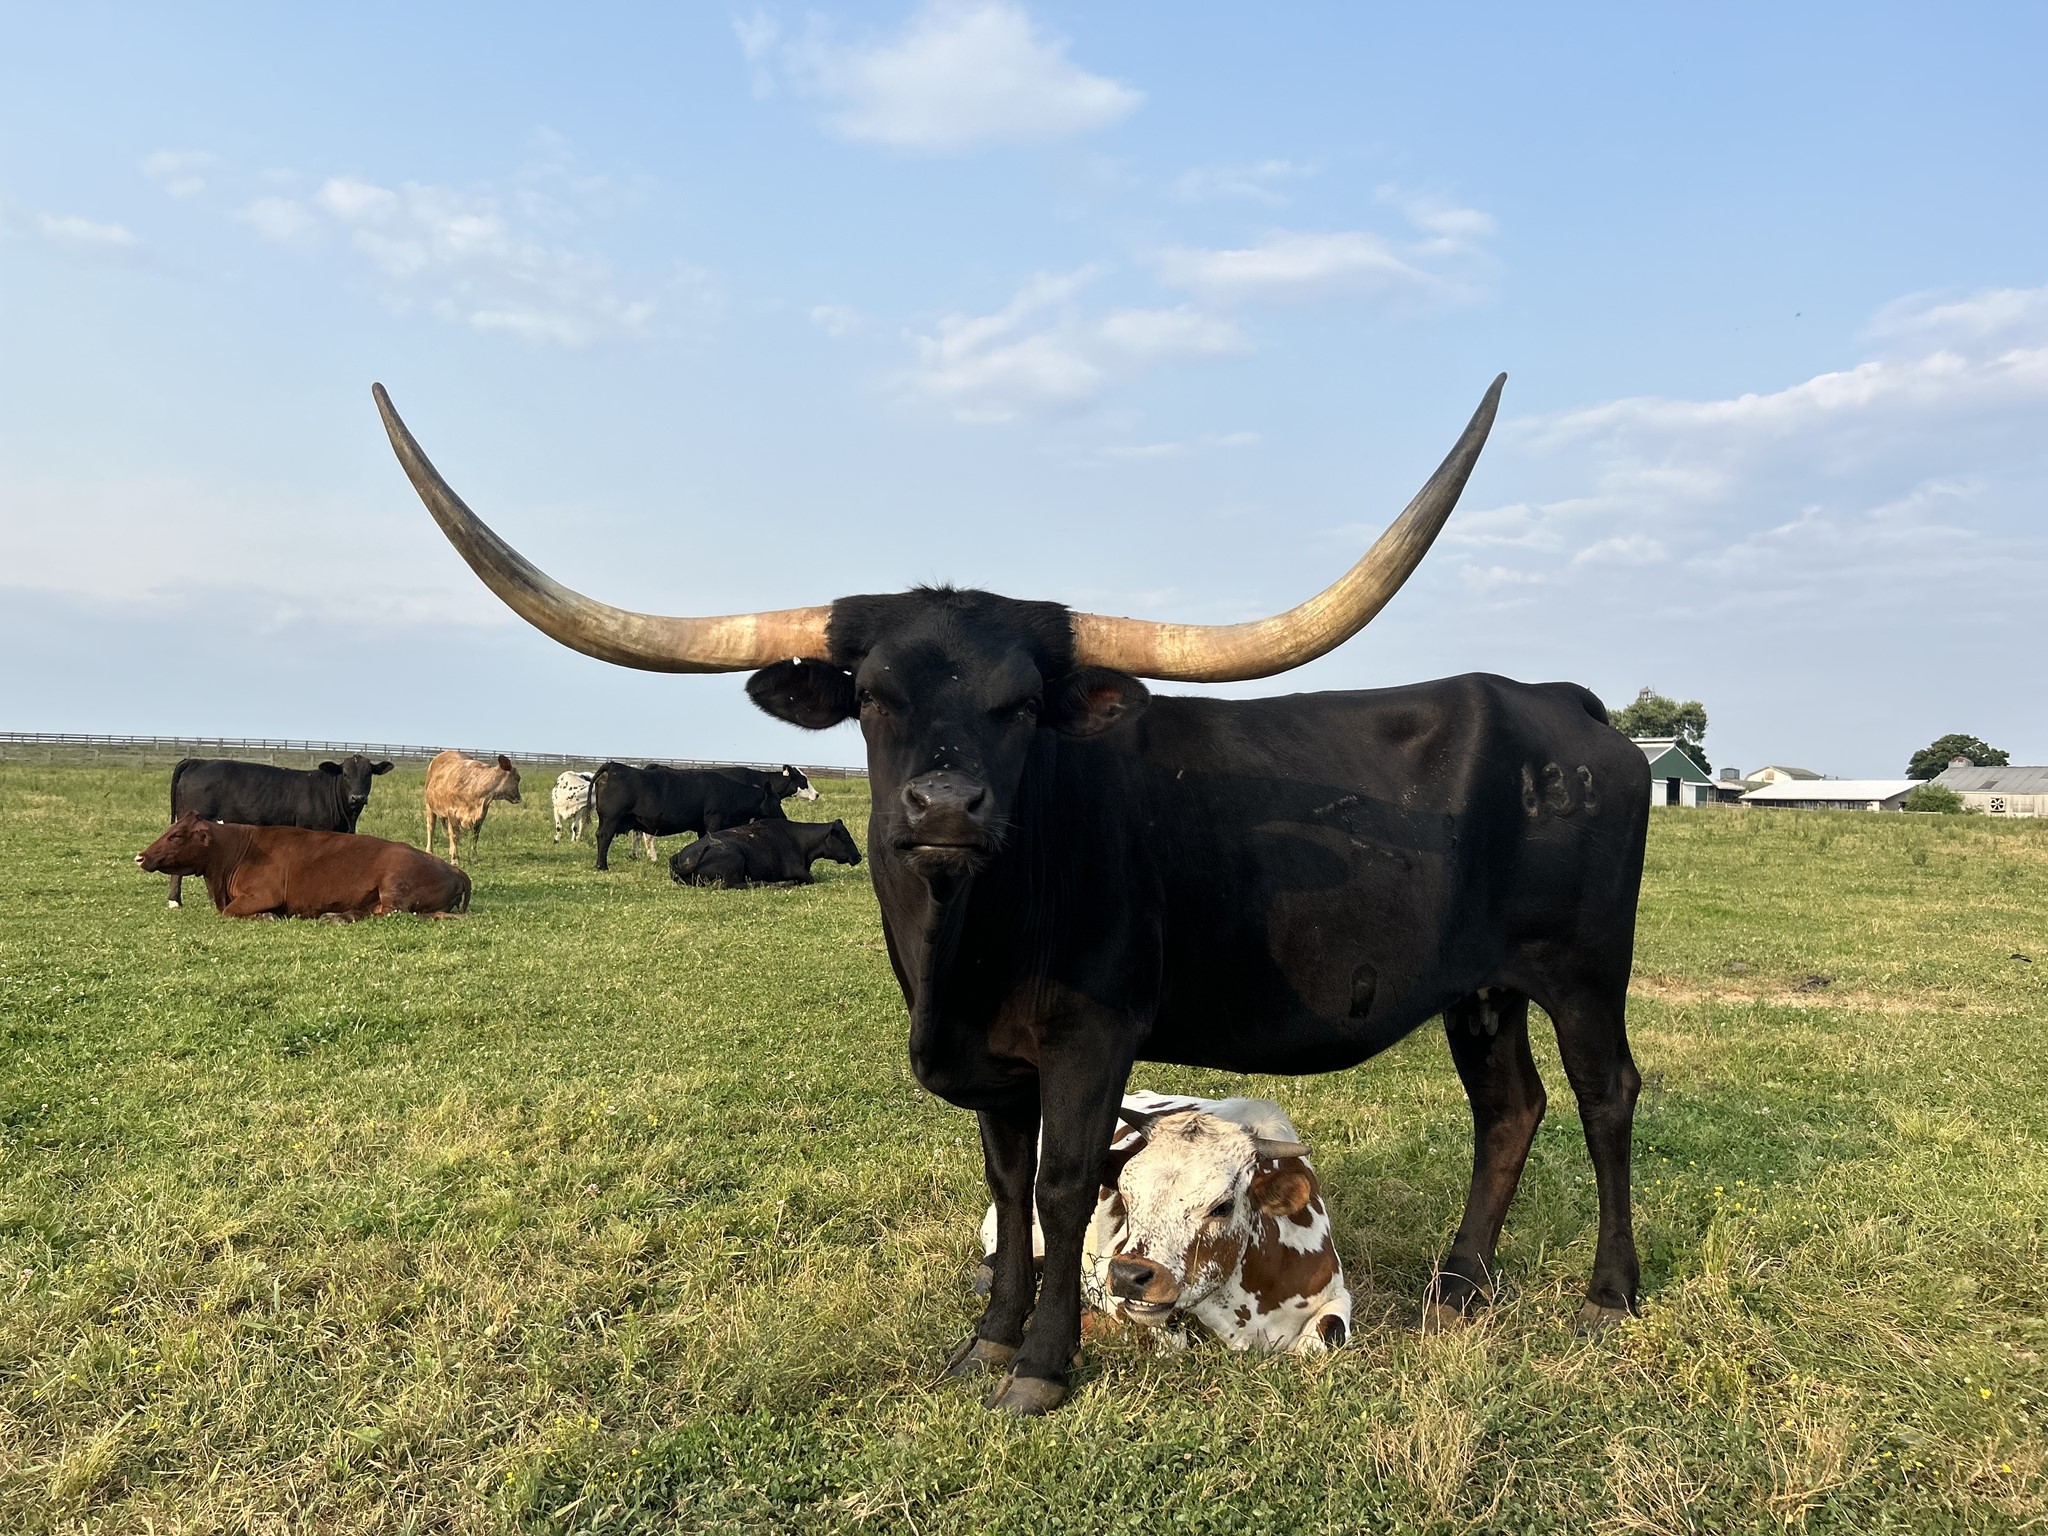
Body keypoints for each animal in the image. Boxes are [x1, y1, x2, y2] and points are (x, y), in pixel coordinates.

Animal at [136, 813, 470, 920]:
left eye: (176, 835)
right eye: (169, 829)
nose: (140, 856)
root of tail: (453, 869)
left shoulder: (263, 895)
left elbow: (231, 912)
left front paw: (267, 917)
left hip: (394, 887)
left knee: (387, 913)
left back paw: (337, 917)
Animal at [587, 761, 806, 871]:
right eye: (777, 801)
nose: (784, 818)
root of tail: (614, 766)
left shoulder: (701, 826)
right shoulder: (713, 820)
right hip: (611, 819)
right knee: (604, 837)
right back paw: (602, 865)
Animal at [669, 817, 862, 888]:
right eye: (846, 838)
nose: (859, 856)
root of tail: (679, 857)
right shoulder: (796, 870)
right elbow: (809, 879)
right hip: (734, 860)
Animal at [976, 1091, 1351, 1356]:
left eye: (1223, 1207)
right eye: (1127, 1196)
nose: (1128, 1276)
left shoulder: (1336, 1292)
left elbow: (1323, 1339)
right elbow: (1169, 1341)